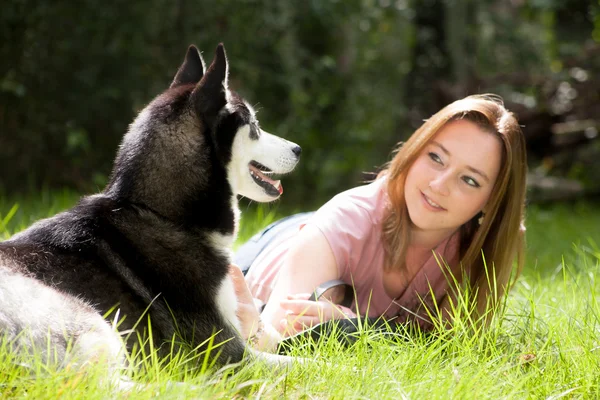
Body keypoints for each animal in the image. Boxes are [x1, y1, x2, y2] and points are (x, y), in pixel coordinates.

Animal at [0, 42, 300, 370]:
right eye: (255, 126)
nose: (298, 149)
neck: (161, 216)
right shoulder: (224, 352)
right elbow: (307, 362)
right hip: (87, 318)